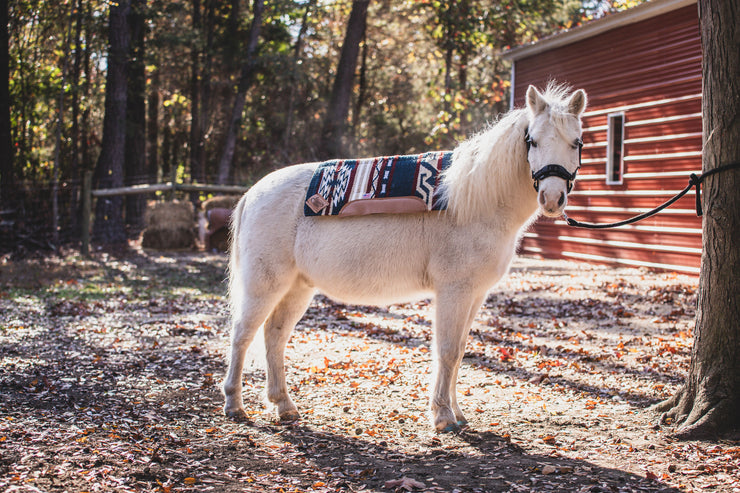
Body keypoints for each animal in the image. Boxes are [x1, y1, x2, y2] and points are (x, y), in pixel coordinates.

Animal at [223, 85, 588, 430]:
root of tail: (253, 193)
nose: (552, 198)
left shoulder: (474, 295)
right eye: (533, 141)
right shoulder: (454, 292)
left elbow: (459, 352)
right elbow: (447, 351)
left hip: (297, 288)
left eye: (577, 143)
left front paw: (457, 413)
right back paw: (234, 405)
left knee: (274, 335)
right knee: (242, 335)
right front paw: (443, 417)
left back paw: (283, 406)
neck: (472, 201)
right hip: (264, 286)